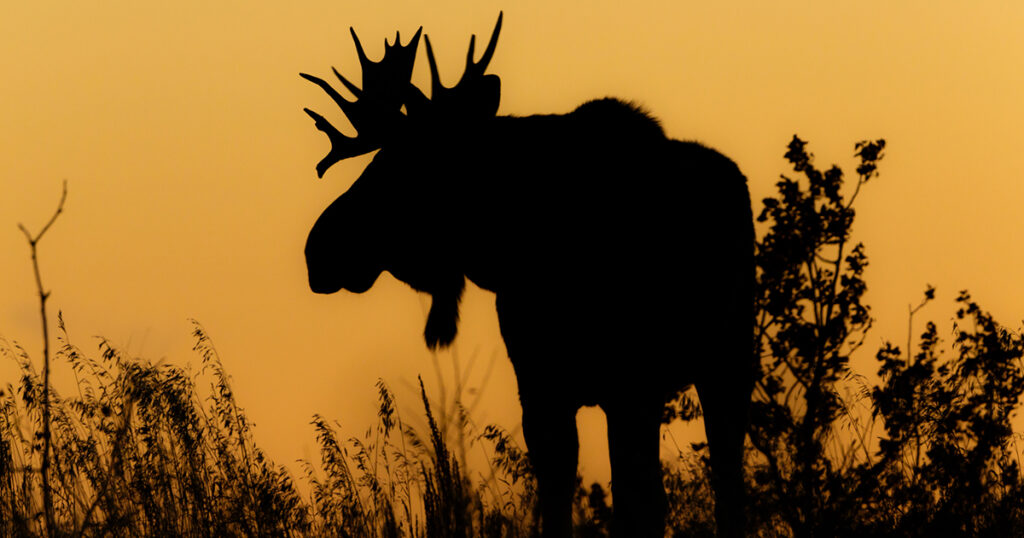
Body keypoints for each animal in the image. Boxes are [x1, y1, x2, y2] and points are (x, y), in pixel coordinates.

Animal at [301, 13, 755, 537]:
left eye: (404, 166)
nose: (318, 249)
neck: (514, 244)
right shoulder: (540, 389)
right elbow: (557, 501)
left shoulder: (629, 386)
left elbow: (635, 505)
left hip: (728, 363)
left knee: (725, 484)